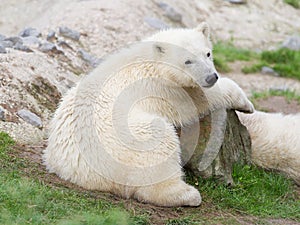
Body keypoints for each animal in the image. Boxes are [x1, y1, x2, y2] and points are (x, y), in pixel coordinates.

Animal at [42, 22, 253, 207]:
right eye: (187, 61)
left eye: (207, 53)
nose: (211, 77)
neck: (152, 60)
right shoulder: (164, 89)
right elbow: (201, 98)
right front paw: (246, 104)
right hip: (127, 140)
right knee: (159, 146)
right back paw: (187, 194)